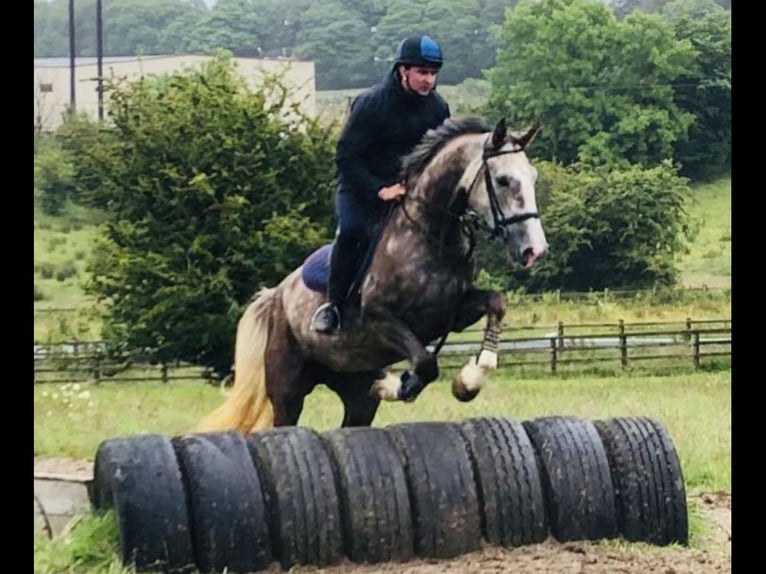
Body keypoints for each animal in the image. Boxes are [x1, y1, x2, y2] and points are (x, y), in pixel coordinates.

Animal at [196, 116, 544, 436]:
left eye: (532, 177)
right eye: (503, 180)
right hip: (288, 388)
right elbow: (426, 364)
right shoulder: (379, 321)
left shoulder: (452, 314)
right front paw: (398, 385)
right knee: (286, 417)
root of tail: (277, 295)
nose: (535, 249)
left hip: (353, 387)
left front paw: (468, 381)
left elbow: (496, 302)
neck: (431, 234)